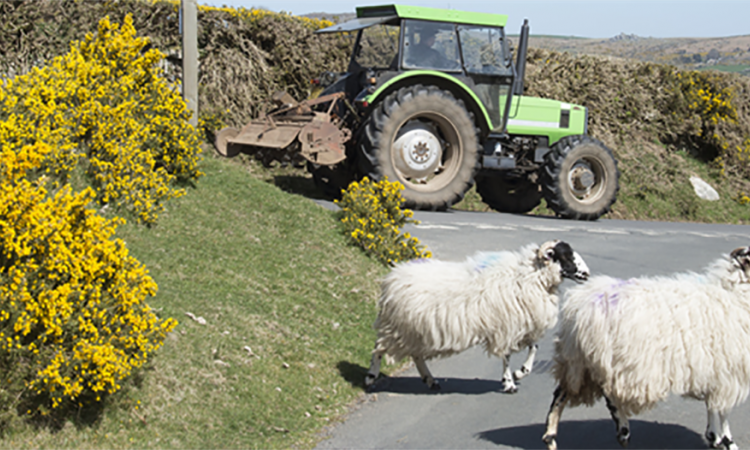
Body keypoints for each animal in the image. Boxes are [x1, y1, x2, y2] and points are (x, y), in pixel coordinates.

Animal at [364, 241, 592, 392]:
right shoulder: (506, 327)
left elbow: (534, 347)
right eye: (566, 256)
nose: (587, 274)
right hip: (398, 327)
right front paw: (509, 382)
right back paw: (370, 377)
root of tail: (391, 278)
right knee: (379, 348)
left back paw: (430, 380)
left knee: (415, 355)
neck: (530, 276)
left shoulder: (521, 325)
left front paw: (521, 372)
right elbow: (507, 356)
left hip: (414, 329)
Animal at [544, 246, 750, 450]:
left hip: (578, 360)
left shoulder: (715, 371)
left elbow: (713, 407)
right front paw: (726, 441)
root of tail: (578, 305)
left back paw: (550, 436)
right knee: (609, 395)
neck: (734, 293)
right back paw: (623, 430)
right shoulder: (727, 373)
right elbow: (722, 410)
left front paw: (714, 437)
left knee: (561, 394)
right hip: (613, 360)